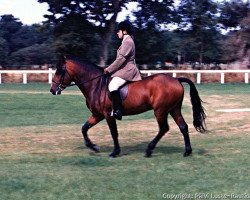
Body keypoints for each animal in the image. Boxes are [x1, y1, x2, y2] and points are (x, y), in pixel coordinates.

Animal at [49, 55, 206, 158]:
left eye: (59, 70)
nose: (52, 90)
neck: (96, 84)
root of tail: (176, 79)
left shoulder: (108, 115)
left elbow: (114, 133)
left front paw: (114, 152)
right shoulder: (97, 115)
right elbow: (84, 128)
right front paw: (94, 147)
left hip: (160, 111)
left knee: (164, 128)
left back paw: (149, 150)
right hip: (174, 109)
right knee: (183, 126)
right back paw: (187, 151)